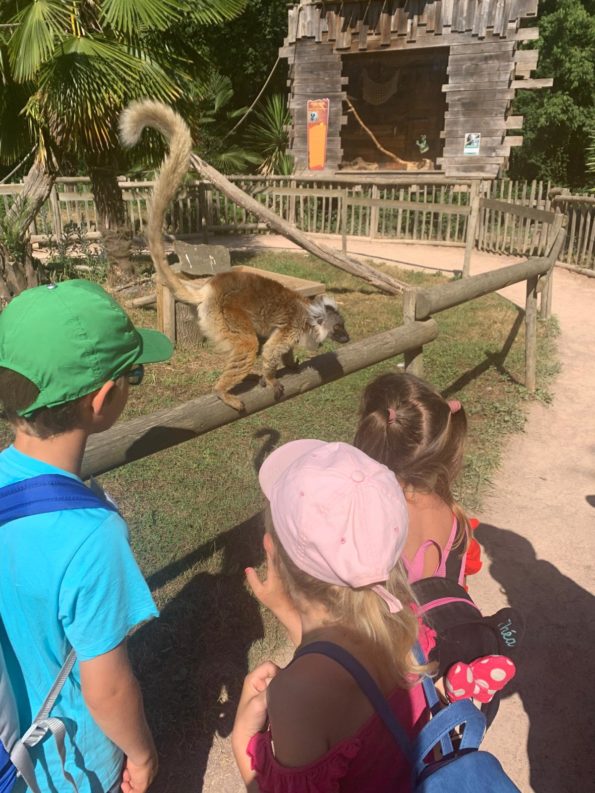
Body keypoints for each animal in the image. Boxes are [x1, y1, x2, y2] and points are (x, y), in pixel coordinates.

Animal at [119, 100, 350, 411]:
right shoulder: (293, 327)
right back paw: (221, 391)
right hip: (224, 315)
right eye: (339, 328)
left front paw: (291, 364)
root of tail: (210, 287)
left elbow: (282, 351)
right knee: (248, 344)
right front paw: (270, 378)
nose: (347, 337)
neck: (311, 318)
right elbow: (270, 349)